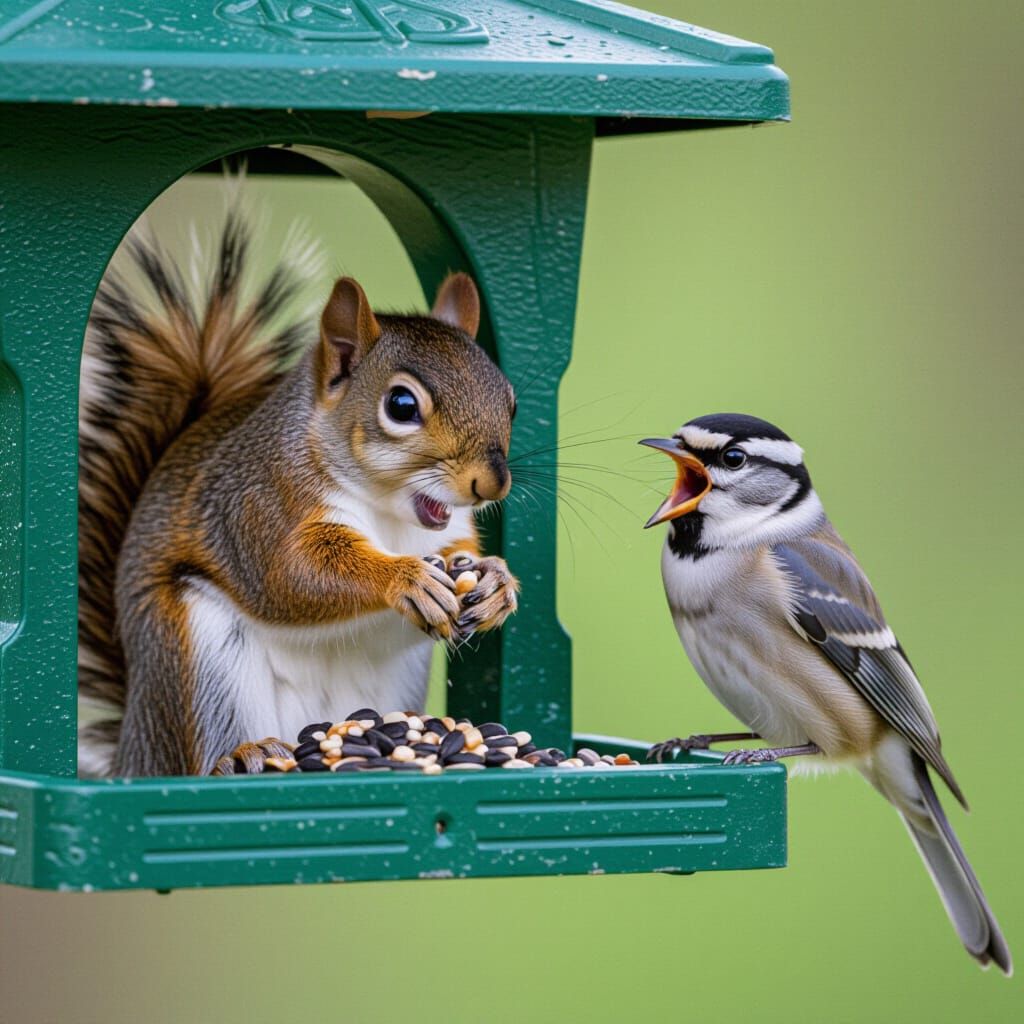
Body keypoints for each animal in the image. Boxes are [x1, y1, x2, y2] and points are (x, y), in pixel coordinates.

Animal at [78, 208, 519, 777]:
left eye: (510, 400)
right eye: (401, 405)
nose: (492, 483)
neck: (390, 515)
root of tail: (133, 754)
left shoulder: (447, 533)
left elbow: (458, 557)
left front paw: (497, 581)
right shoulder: (257, 506)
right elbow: (289, 575)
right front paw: (405, 579)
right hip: (197, 660)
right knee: (202, 755)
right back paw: (245, 754)